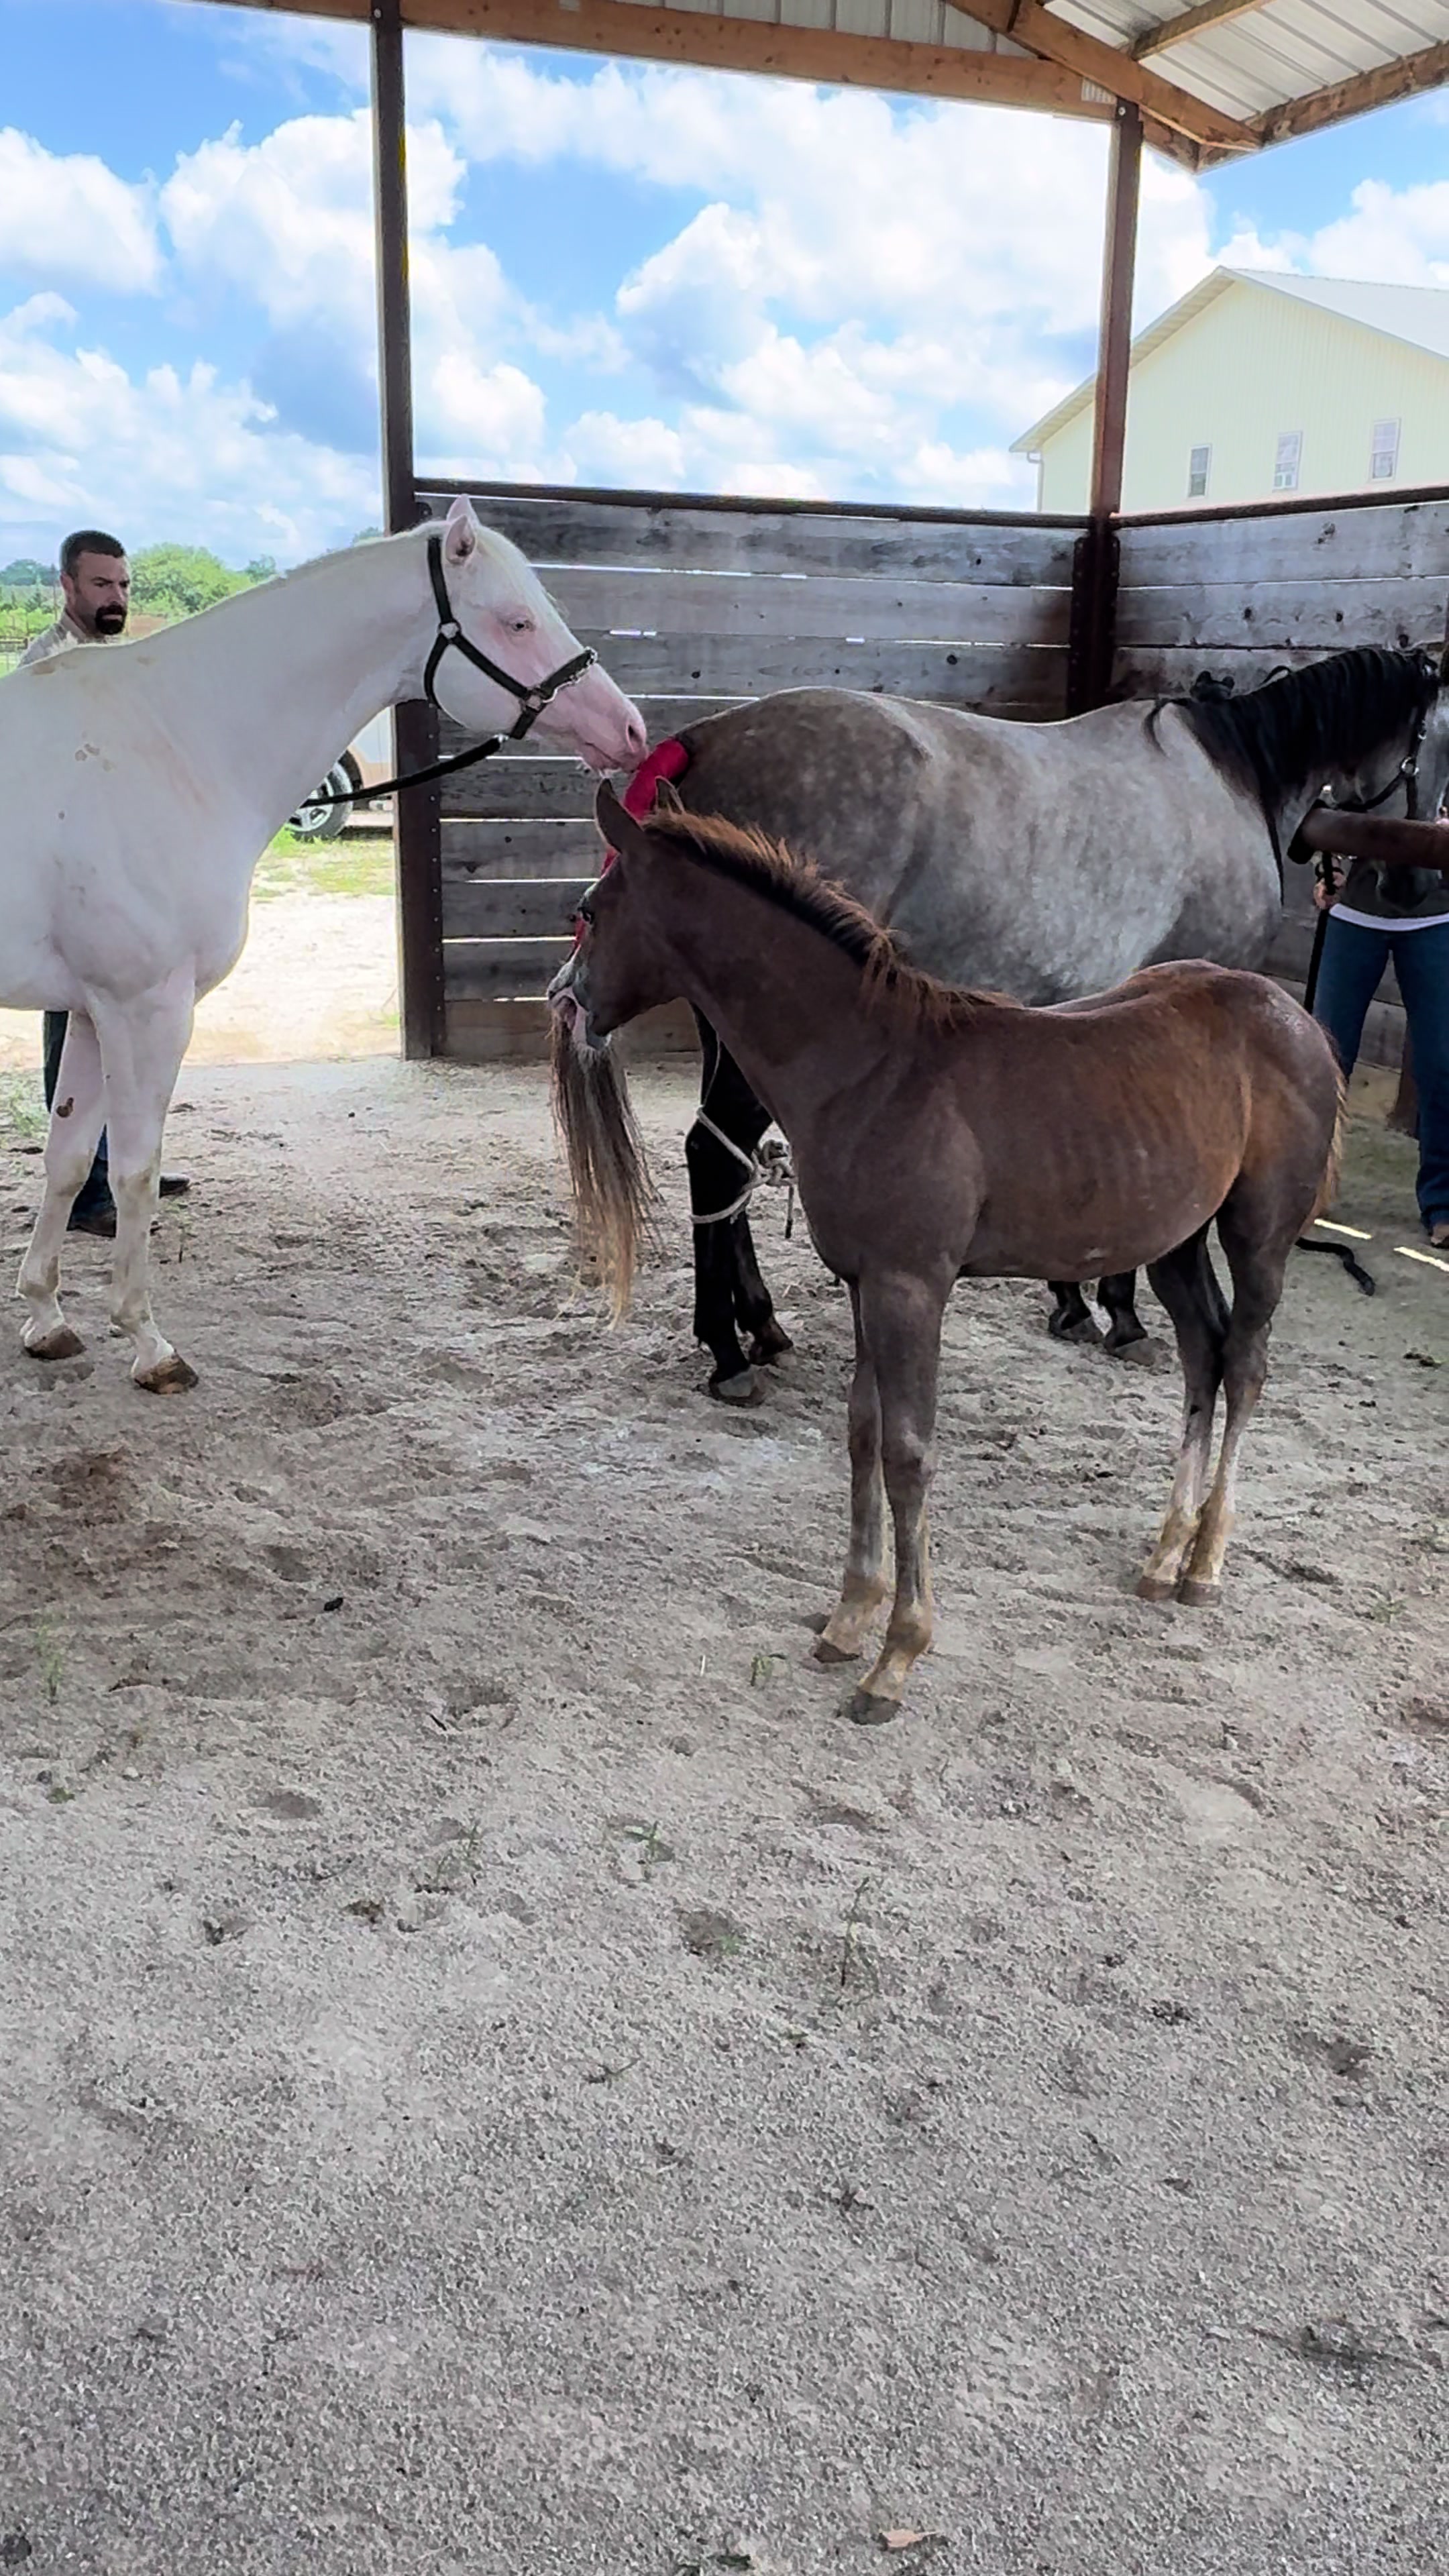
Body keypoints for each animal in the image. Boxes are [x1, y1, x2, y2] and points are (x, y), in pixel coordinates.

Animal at [0, 499, 644, 1393]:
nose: (630, 727)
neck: (171, 744)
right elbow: (132, 1173)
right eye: (516, 620)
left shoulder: (96, 1012)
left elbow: (65, 1160)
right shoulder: (145, 1009)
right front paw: (149, 1344)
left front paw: (47, 1318)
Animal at [550, 785, 1344, 1724]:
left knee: (1247, 1365)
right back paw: (1165, 1556)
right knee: (1204, 1357)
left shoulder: (912, 1288)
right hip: (1177, 1241)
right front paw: (848, 1619)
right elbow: (861, 1433)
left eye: (588, 912)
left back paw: (1209, 1562)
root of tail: (1294, 1015)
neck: (871, 1069)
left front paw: (896, 1656)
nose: (565, 1004)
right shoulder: (863, 1283)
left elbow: (908, 1452)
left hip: (1259, 1232)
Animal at [640, 645, 1449, 1400]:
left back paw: (760, 1324)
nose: (1413, 885)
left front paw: (1074, 1303)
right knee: (716, 1156)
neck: (1228, 773)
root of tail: (709, 739)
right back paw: (727, 1351)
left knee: (727, 1156)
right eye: (1441, 740)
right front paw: (1121, 1314)